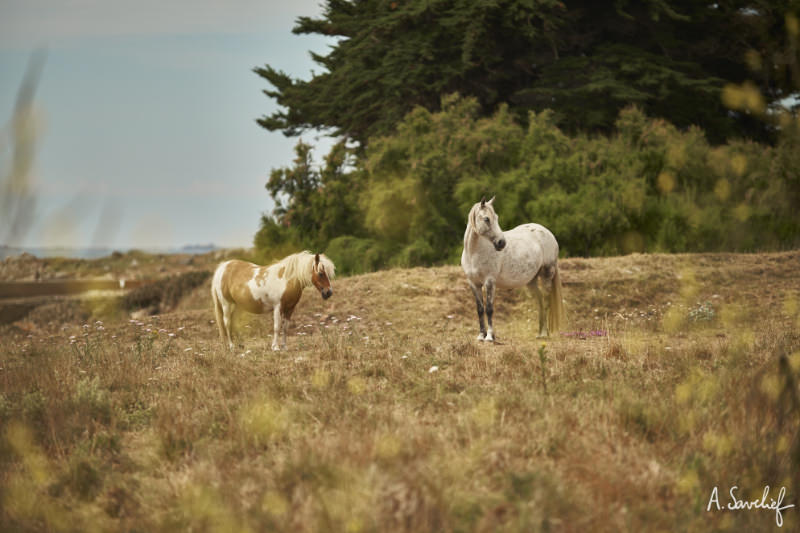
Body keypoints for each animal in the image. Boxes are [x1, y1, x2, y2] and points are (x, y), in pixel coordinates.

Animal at [460, 196, 564, 340]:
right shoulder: (473, 284)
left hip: (547, 273)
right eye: (486, 219)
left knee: (546, 301)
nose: (501, 243)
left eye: (496, 217)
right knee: (540, 302)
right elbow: (480, 309)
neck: (474, 253)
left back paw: (544, 334)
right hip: (531, 281)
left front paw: (490, 337)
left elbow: (489, 309)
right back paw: (539, 333)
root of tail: (548, 233)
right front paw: (481, 336)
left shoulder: (489, 282)